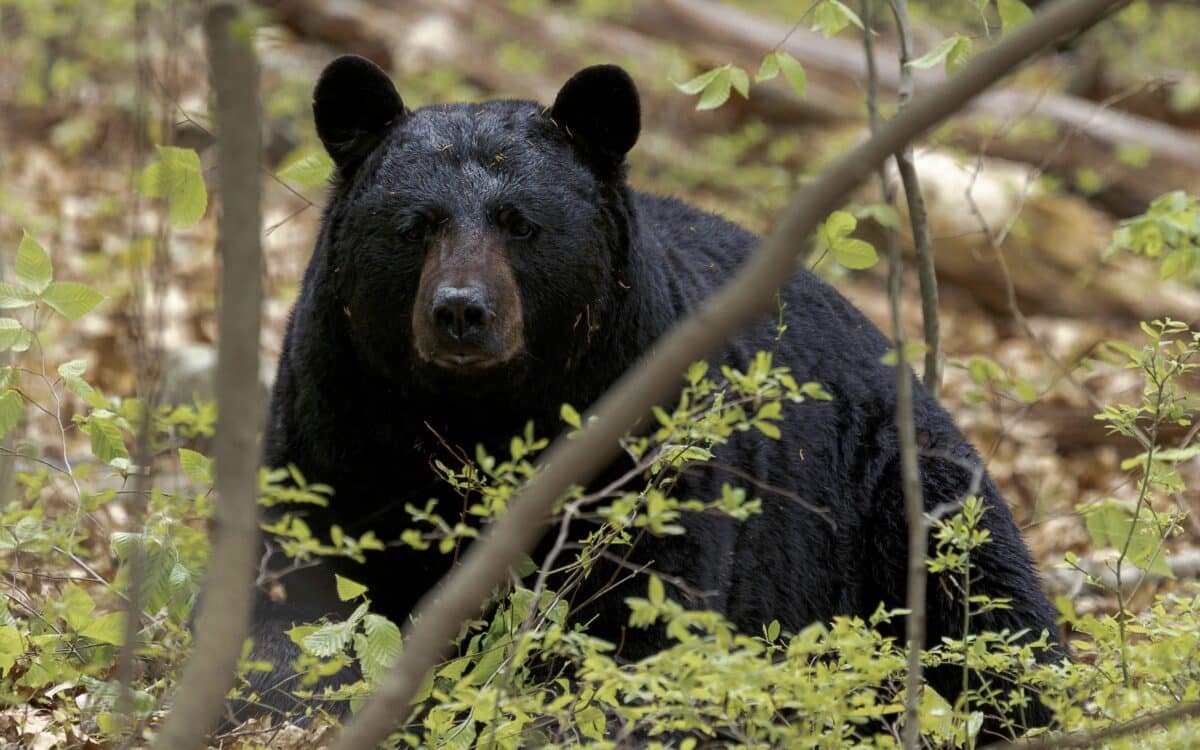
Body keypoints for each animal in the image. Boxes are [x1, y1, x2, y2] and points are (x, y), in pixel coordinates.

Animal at [239, 55, 1060, 738]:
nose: (461, 311)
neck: (479, 413)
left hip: (897, 492)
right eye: (415, 226)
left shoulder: (645, 437)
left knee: (990, 607)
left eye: (520, 223)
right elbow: (297, 586)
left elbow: (646, 612)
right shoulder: (336, 413)